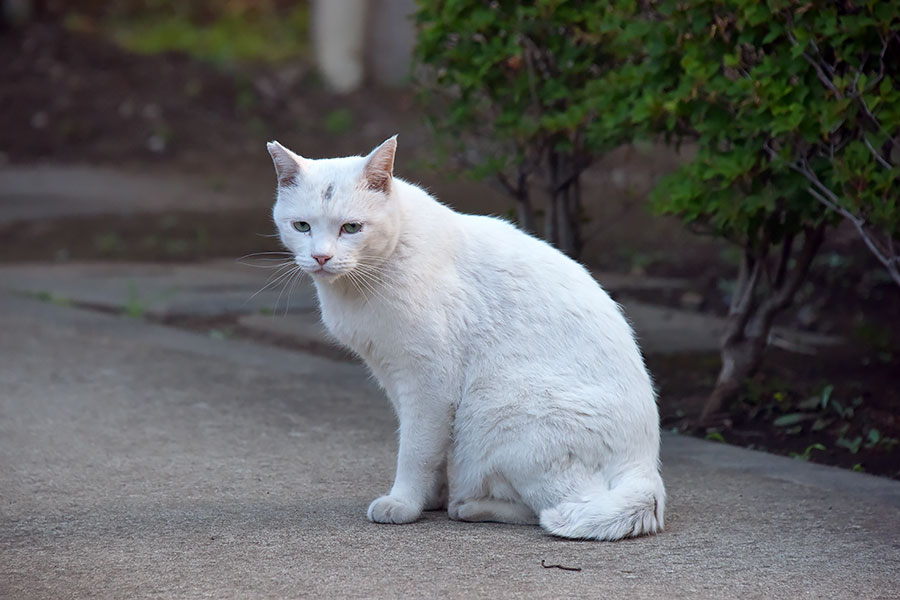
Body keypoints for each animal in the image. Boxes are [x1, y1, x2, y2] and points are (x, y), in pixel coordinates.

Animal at [264, 138, 664, 540]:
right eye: (302, 226)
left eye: (351, 228)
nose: (321, 256)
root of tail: (645, 468)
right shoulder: (393, 374)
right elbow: (430, 448)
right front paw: (429, 499)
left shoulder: (429, 381)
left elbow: (415, 450)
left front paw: (403, 503)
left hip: (498, 409)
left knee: (556, 509)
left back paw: (471, 507)